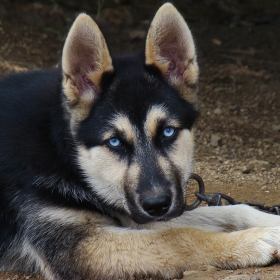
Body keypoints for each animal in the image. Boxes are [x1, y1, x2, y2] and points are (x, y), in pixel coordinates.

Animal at [0, 2, 280, 280]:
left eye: (167, 132)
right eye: (114, 142)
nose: (157, 205)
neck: (64, 153)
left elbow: (230, 210)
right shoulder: (77, 245)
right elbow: (179, 236)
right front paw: (253, 240)